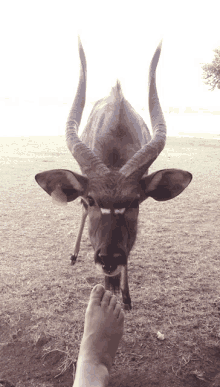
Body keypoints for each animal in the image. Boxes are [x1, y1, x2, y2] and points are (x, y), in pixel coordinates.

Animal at [35, 38, 192, 310]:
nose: (109, 259)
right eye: (92, 200)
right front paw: (108, 289)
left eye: (134, 202)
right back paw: (75, 256)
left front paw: (125, 296)